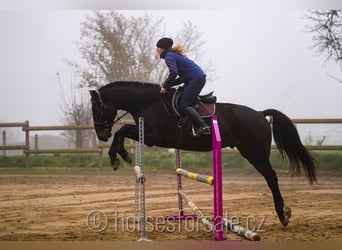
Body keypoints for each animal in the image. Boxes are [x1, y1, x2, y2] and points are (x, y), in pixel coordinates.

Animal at [89, 80, 316, 227]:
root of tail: (260, 114)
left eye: (97, 109)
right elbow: (122, 132)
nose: (101, 135)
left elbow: (122, 130)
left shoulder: (153, 136)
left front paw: (119, 156)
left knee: (271, 177)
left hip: (255, 154)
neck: (147, 102)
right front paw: (119, 156)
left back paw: (283, 215)